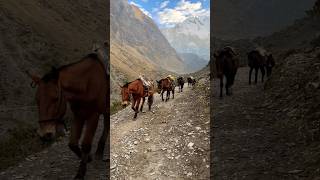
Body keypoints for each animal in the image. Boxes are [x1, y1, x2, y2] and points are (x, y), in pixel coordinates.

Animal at [26, 46, 109, 179]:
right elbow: (73, 143)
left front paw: (80, 173)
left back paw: (100, 151)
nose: (44, 134)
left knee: (106, 126)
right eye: (37, 100)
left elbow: (86, 144)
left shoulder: (93, 116)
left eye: (55, 98)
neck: (86, 83)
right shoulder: (79, 115)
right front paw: (88, 158)